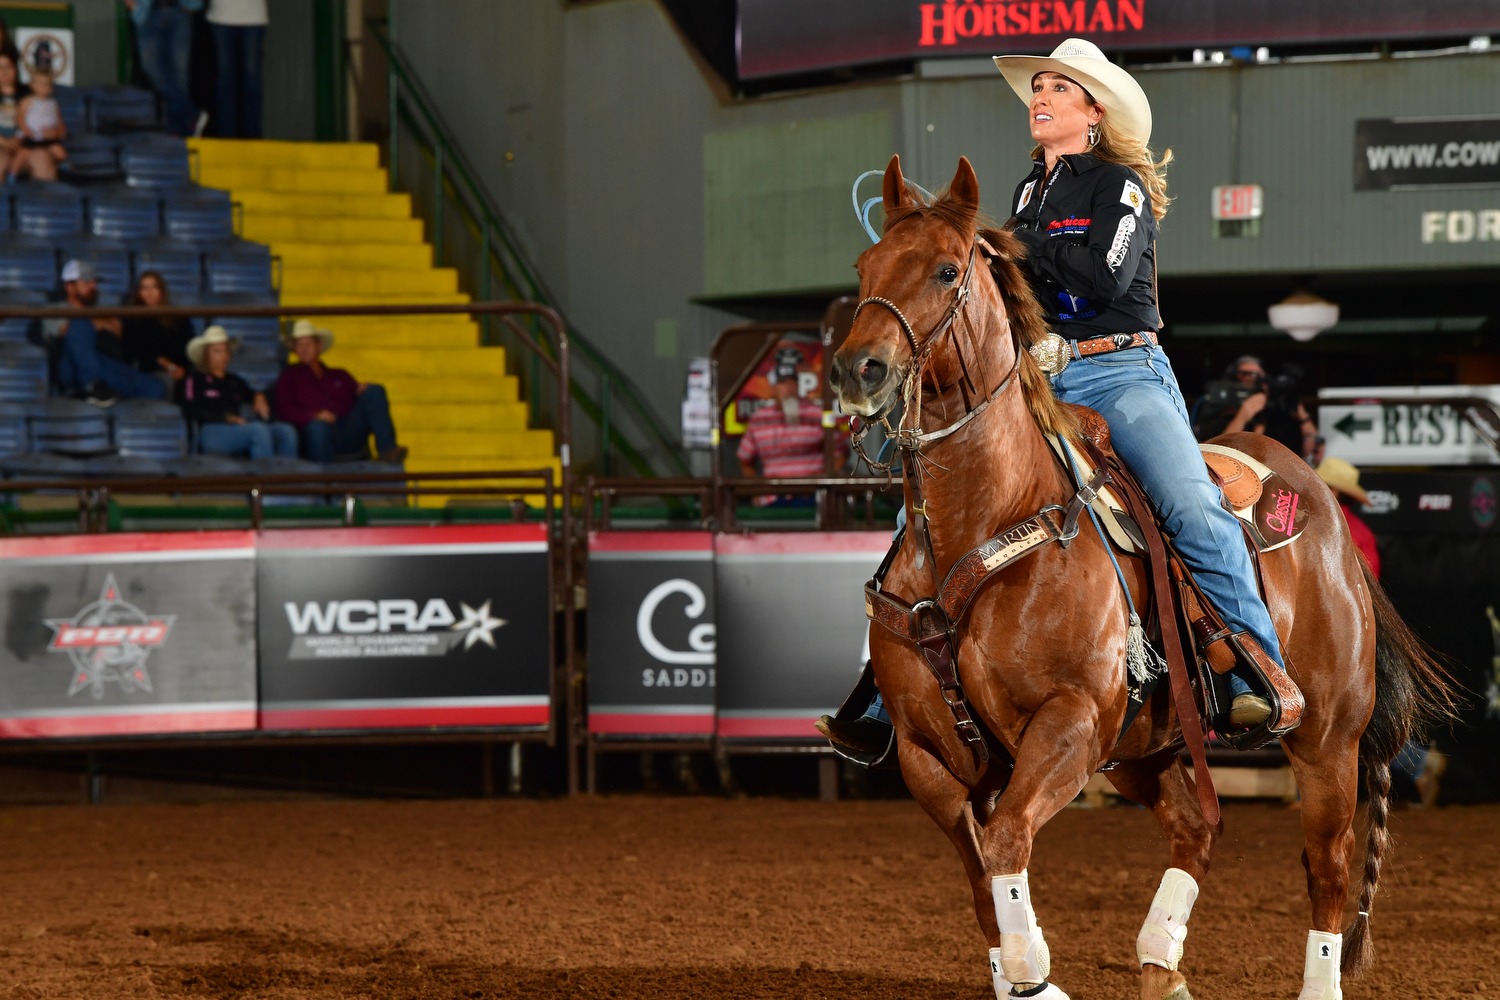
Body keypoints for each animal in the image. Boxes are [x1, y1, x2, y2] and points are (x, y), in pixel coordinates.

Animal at [828, 154, 1458, 1000]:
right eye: (863, 267)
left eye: (946, 269)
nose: (857, 370)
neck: (987, 518)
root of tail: (1323, 506)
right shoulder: (929, 757)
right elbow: (982, 870)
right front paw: (1021, 969)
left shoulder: (1069, 723)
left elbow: (1006, 842)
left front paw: (1033, 974)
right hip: (1145, 749)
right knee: (1197, 830)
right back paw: (1161, 963)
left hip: (1327, 738)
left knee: (1327, 868)